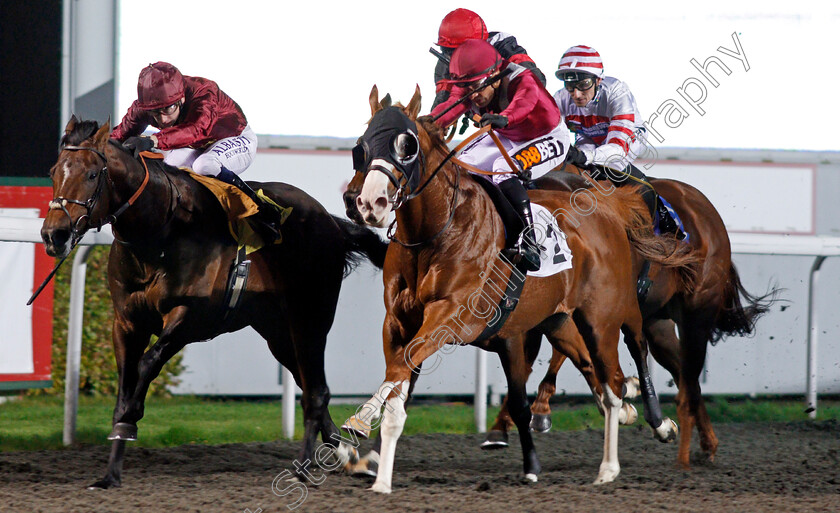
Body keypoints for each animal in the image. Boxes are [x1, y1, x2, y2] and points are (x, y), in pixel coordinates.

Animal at [41, 116, 388, 488]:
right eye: (53, 171)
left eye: (92, 174)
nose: (54, 235)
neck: (160, 229)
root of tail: (330, 221)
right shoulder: (126, 322)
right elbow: (126, 381)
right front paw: (110, 472)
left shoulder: (192, 317)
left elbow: (147, 364)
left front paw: (130, 421)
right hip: (277, 331)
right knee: (308, 383)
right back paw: (346, 456)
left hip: (310, 318)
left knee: (316, 391)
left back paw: (303, 469)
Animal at [338, 85, 700, 492]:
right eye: (362, 145)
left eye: (407, 146)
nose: (368, 202)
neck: (436, 232)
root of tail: (607, 206)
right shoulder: (399, 323)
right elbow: (398, 376)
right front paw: (367, 455)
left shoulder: (449, 317)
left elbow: (401, 371)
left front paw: (362, 436)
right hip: (560, 321)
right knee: (599, 374)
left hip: (606, 315)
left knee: (624, 364)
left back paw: (628, 448)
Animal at [486, 170, 776, 466]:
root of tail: (704, 206)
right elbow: (533, 359)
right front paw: (504, 425)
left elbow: (563, 354)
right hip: (658, 324)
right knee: (684, 373)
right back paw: (706, 443)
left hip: (698, 309)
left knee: (687, 371)